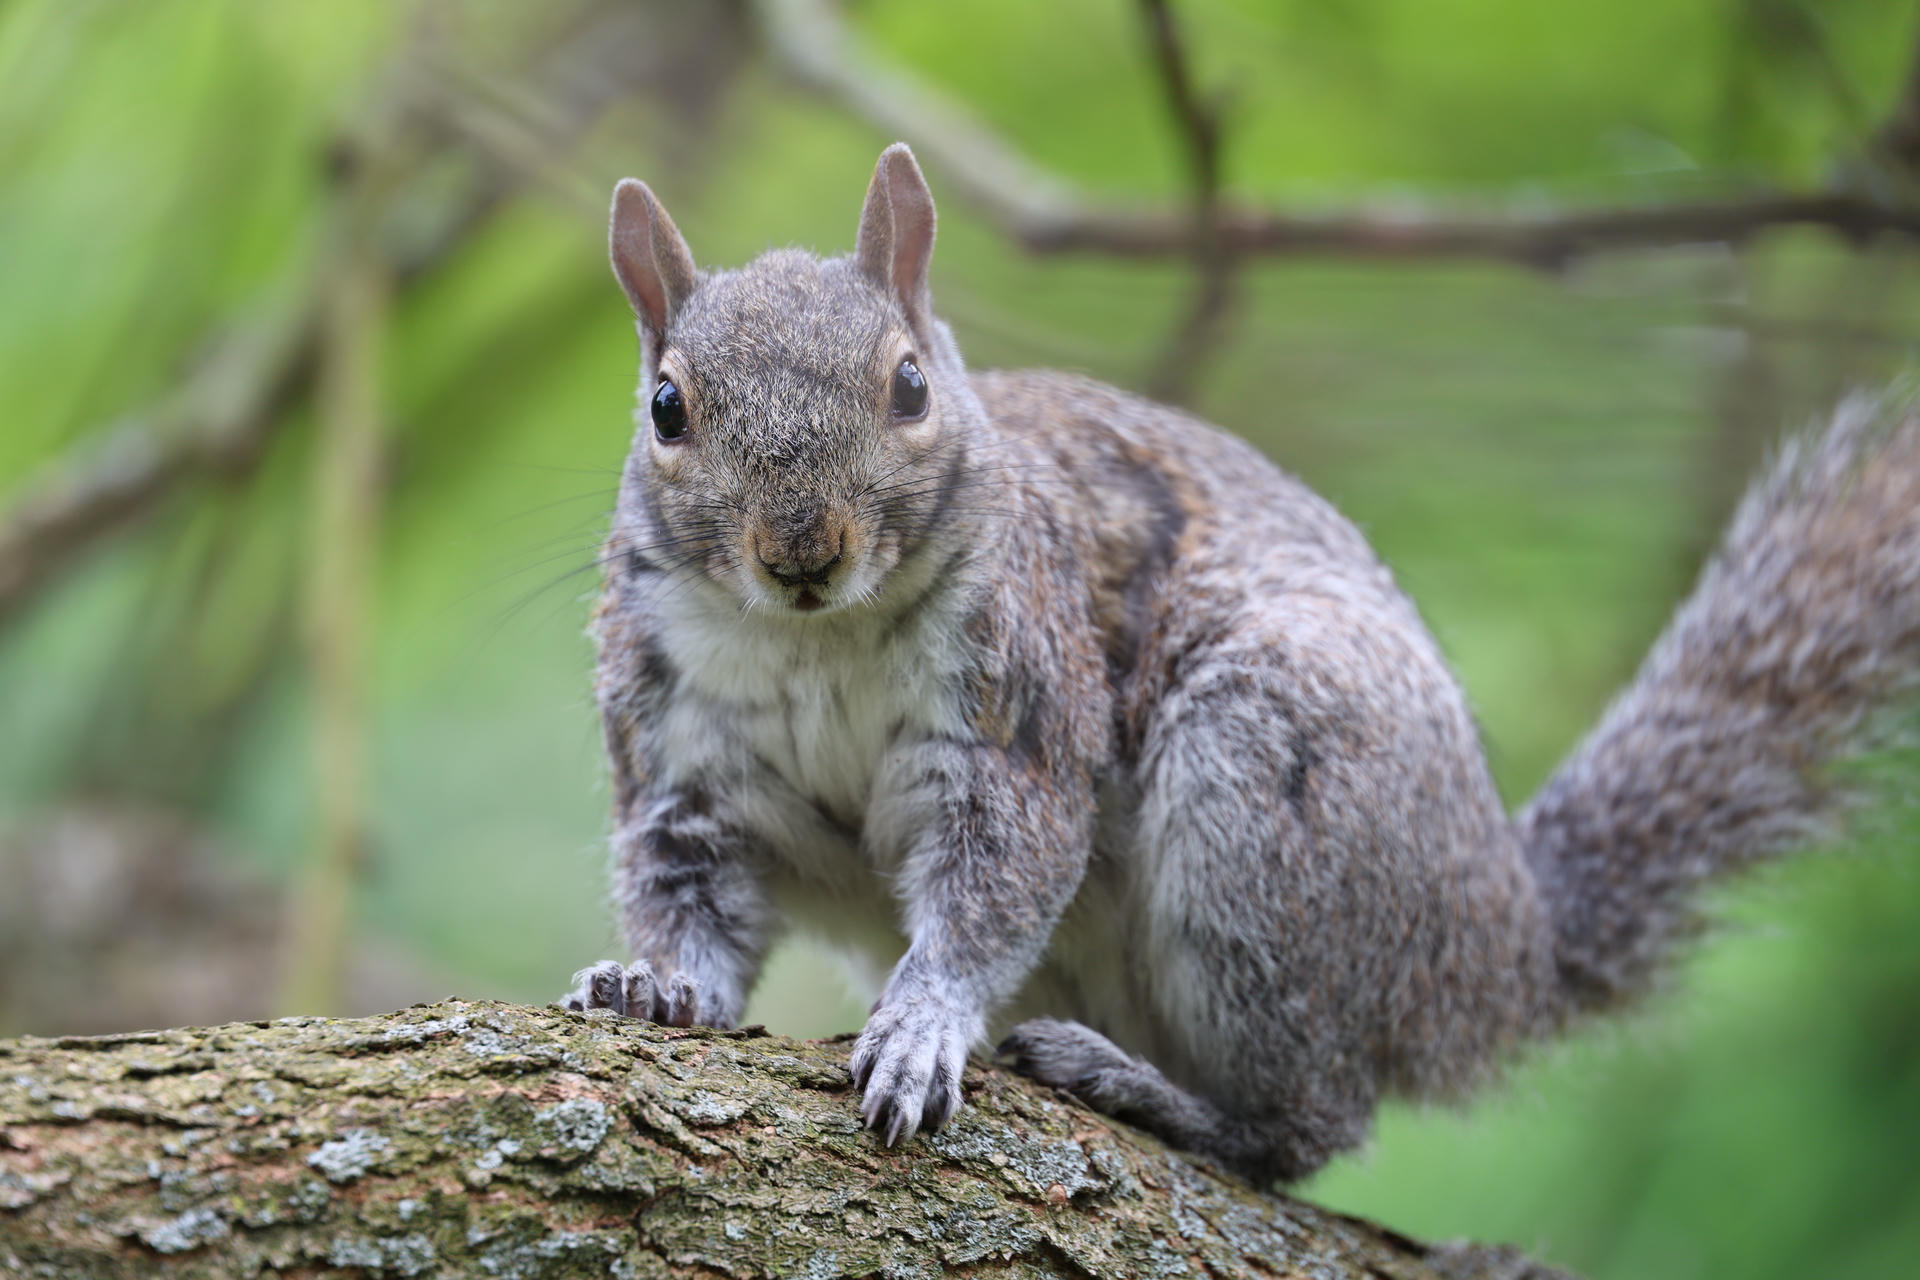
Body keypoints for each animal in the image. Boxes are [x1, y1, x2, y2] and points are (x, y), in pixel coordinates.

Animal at [561, 142, 1920, 1184]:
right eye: (666, 407)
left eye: (909, 384)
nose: (802, 549)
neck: (817, 635)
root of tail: (1505, 949)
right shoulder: (686, 769)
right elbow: (692, 897)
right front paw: (653, 986)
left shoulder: (1020, 710)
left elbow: (995, 881)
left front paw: (921, 1025)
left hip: (1268, 797)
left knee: (1315, 1125)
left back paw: (1143, 1091)